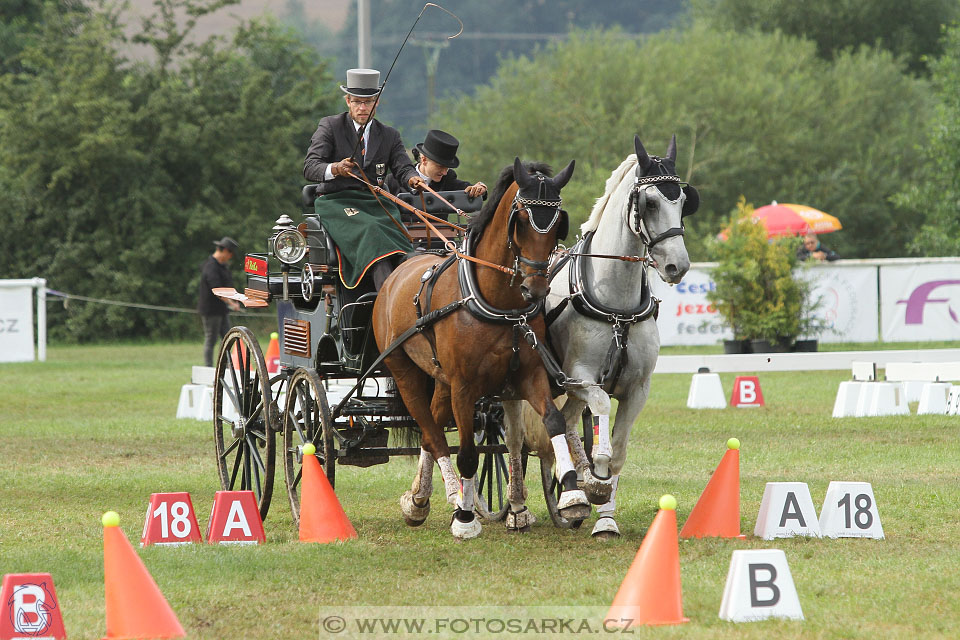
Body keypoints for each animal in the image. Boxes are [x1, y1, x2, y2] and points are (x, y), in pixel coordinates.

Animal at [374, 158, 584, 536]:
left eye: (557, 223)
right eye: (521, 220)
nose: (535, 289)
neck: (498, 303)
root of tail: (398, 271)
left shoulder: (530, 375)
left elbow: (555, 420)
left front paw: (573, 496)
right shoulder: (465, 387)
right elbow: (469, 453)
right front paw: (466, 519)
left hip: (440, 377)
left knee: (431, 431)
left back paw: (421, 500)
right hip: (404, 371)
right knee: (430, 429)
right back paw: (452, 497)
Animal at [502, 135, 696, 536]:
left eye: (684, 201)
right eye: (650, 202)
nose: (678, 265)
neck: (616, 305)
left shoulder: (638, 388)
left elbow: (617, 451)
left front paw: (604, 512)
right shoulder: (579, 378)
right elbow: (601, 417)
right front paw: (592, 481)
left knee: (566, 423)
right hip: (513, 386)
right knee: (513, 440)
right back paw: (516, 508)